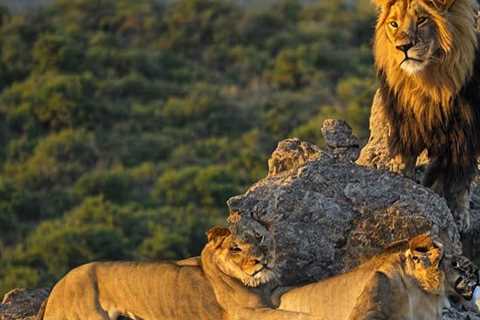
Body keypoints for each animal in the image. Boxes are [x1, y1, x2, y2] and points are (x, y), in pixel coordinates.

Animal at [36, 226, 318, 318]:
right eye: (235, 248)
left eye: (259, 237)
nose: (263, 260)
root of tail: (57, 287)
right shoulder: (244, 314)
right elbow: (290, 314)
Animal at [374, 0, 480, 230]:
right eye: (394, 24)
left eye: (422, 20)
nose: (403, 47)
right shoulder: (404, 121)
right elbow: (404, 158)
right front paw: (401, 183)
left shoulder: (465, 129)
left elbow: (460, 176)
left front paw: (459, 216)